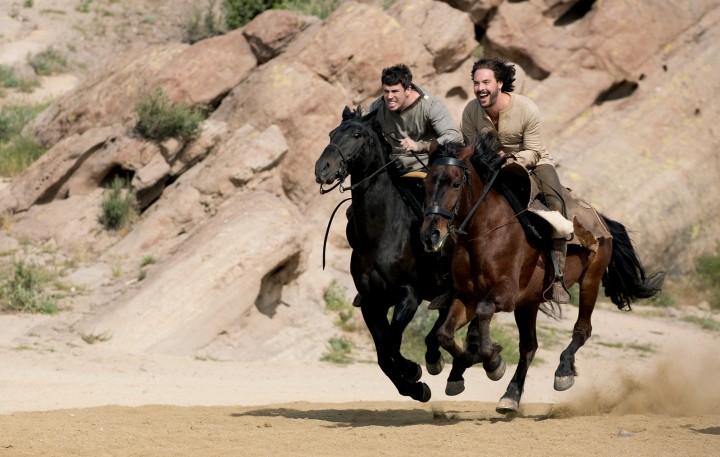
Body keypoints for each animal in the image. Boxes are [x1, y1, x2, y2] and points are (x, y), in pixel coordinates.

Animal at [314, 105, 450, 400]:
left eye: (357, 134)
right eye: (331, 133)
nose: (322, 168)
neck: (382, 233)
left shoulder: (408, 295)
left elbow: (389, 343)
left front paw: (411, 370)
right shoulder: (371, 302)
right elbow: (382, 354)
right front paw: (415, 387)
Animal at [422, 133, 664, 414]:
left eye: (455, 183)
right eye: (426, 182)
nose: (430, 235)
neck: (485, 232)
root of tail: (600, 219)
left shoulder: (505, 295)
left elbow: (482, 313)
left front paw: (493, 361)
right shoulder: (466, 296)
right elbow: (445, 334)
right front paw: (474, 363)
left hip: (589, 281)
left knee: (582, 329)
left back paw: (563, 371)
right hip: (530, 301)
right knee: (529, 346)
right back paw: (510, 396)